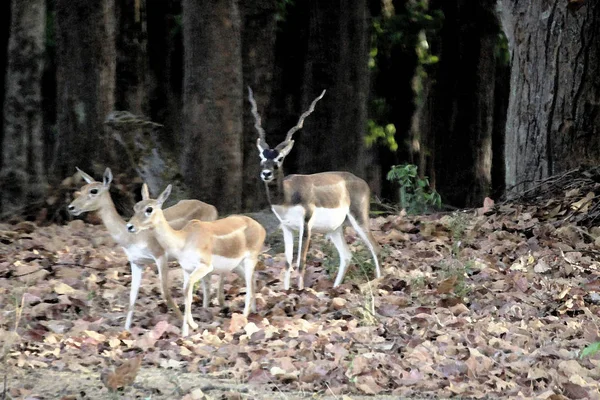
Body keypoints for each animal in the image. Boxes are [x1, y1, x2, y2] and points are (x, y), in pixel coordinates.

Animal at [68, 167, 218, 330]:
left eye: (94, 190)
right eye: (82, 188)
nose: (71, 207)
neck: (132, 239)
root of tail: (212, 207)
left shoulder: (160, 256)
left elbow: (166, 293)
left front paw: (187, 325)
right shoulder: (136, 262)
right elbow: (132, 296)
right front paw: (126, 329)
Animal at [125, 186, 266, 336]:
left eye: (149, 209)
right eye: (136, 206)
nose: (130, 226)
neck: (183, 240)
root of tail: (260, 227)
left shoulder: (205, 266)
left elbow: (188, 291)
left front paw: (191, 326)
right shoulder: (186, 269)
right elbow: (186, 294)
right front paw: (186, 331)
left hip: (250, 259)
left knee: (249, 288)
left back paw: (243, 319)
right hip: (237, 264)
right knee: (253, 281)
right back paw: (253, 312)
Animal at [247, 87, 380, 290]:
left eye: (280, 158)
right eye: (262, 156)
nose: (266, 174)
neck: (287, 196)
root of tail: (359, 180)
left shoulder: (306, 225)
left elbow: (301, 262)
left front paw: (300, 291)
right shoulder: (287, 228)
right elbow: (287, 263)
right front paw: (286, 291)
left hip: (359, 218)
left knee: (375, 247)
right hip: (335, 229)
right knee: (346, 255)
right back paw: (335, 288)